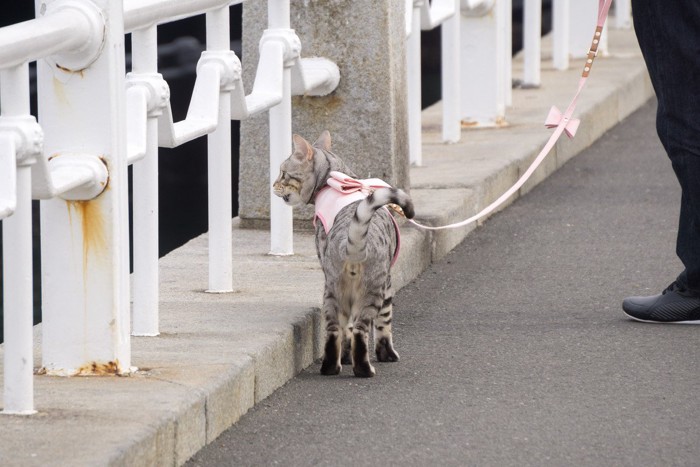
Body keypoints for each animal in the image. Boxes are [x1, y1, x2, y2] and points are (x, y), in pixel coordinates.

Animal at [272, 130, 416, 378]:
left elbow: (351, 329)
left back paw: (332, 367)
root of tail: (351, 244)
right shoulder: (387, 284)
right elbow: (384, 324)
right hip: (371, 290)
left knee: (335, 330)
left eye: (283, 173)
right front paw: (387, 354)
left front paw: (347, 357)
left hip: (332, 291)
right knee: (360, 330)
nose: (273, 184)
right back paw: (364, 369)